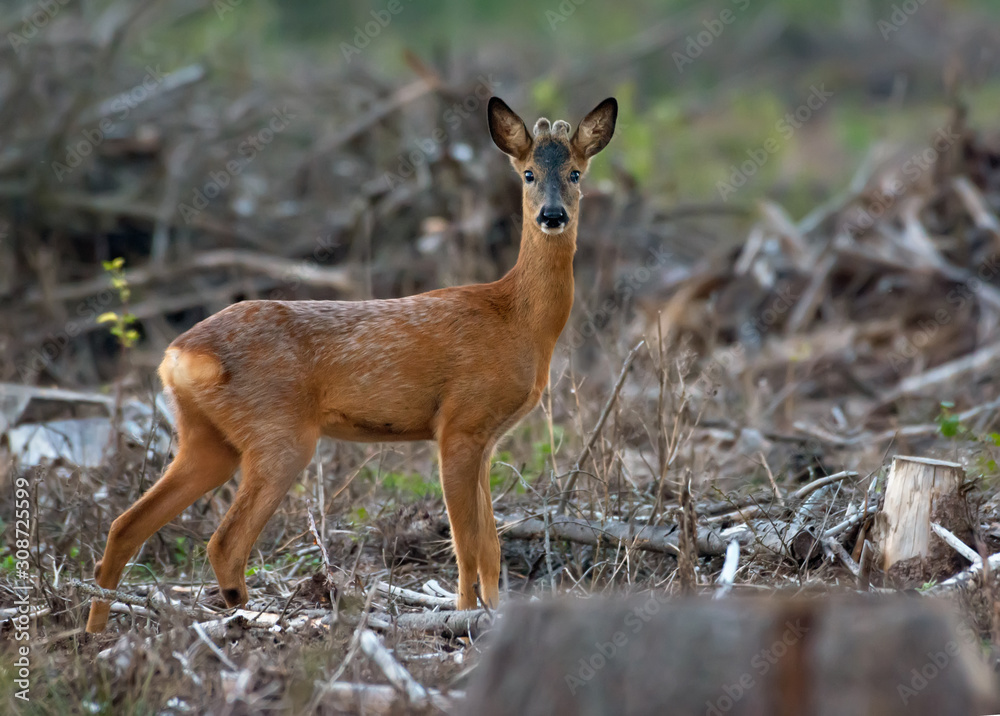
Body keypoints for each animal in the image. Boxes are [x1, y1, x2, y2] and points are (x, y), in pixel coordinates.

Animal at [86, 93, 616, 632]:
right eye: (528, 173)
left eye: (574, 172)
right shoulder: (460, 424)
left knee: (124, 525)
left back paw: (96, 633)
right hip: (280, 432)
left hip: (206, 440)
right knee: (224, 543)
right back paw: (261, 620)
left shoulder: (487, 438)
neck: (518, 320)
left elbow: (489, 547)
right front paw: (468, 619)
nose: (552, 215)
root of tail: (177, 355)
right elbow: (469, 548)